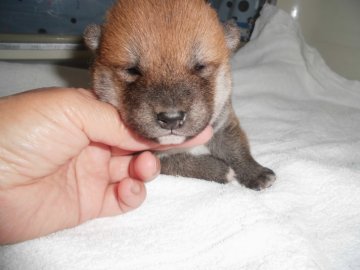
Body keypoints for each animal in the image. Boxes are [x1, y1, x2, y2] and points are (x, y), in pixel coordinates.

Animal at [84, 0, 276, 190]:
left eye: (200, 67)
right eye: (132, 70)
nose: (171, 119)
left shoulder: (224, 122)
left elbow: (236, 147)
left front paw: (255, 172)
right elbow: (181, 162)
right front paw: (220, 170)